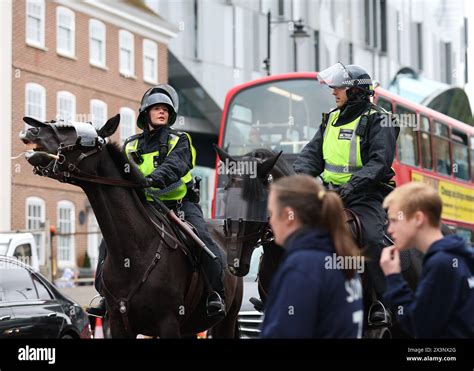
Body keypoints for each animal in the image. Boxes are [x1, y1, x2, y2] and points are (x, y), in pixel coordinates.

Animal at [20, 116, 243, 340]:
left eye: (73, 132)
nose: (32, 131)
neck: (135, 251)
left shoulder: (168, 323)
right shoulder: (118, 323)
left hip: (226, 321)